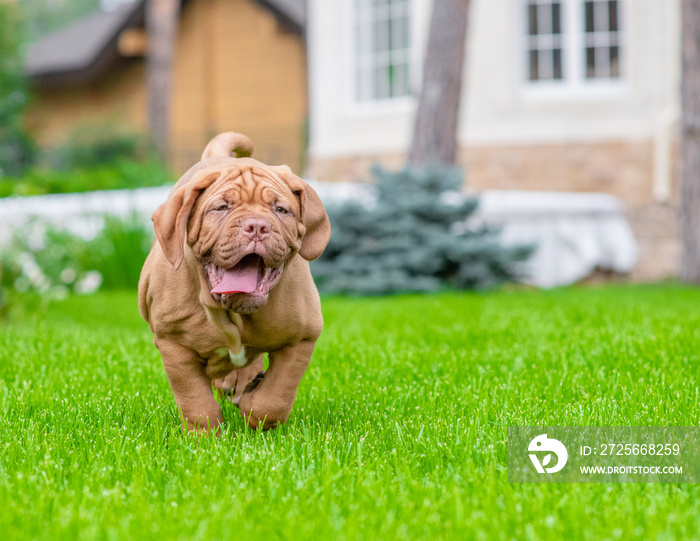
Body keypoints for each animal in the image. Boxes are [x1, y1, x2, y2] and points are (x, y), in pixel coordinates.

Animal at [139, 133, 330, 432]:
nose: (257, 227)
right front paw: (204, 436)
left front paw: (255, 413)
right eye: (221, 208)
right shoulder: (174, 344)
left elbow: (276, 396)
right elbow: (195, 400)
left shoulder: (302, 338)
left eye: (280, 209)